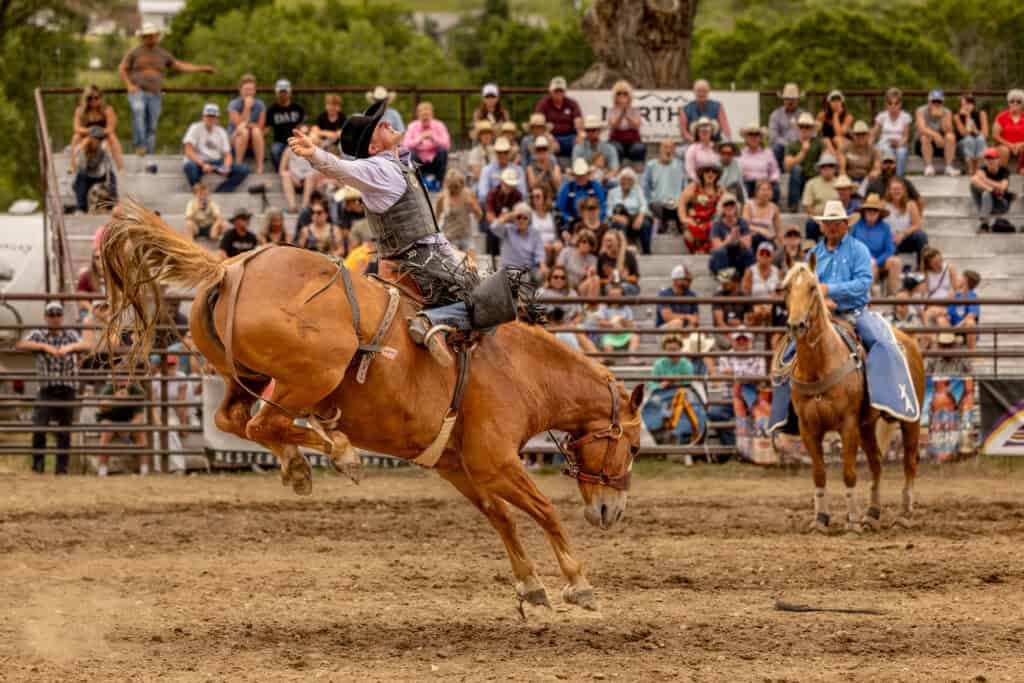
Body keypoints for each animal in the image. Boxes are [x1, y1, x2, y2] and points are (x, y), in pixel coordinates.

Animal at [99, 200, 643, 611]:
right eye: (635, 447)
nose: (612, 511)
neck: (521, 368)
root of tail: (228, 269)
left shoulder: (459, 465)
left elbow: (502, 518)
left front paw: (531, 588)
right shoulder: (496, 460)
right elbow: (544, 509)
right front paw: (579, 583)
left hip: (243, 375)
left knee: (234, 418)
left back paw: (303, 462)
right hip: (313, 373)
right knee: (263, 422)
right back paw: (338, 450)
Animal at [778, 256, 925, 533]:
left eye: (812, 287)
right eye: (786, 288)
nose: (796, 325)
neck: (820, 364)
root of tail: (909, 341)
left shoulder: (847, 425)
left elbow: (849, 473)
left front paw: (852, 522)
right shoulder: (808, 428)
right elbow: (819, 474)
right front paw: (821, 520)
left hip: (910, 420)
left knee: (910, 462)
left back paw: (904, 515)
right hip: (867, 426)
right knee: (876, 462)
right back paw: (872, 513)